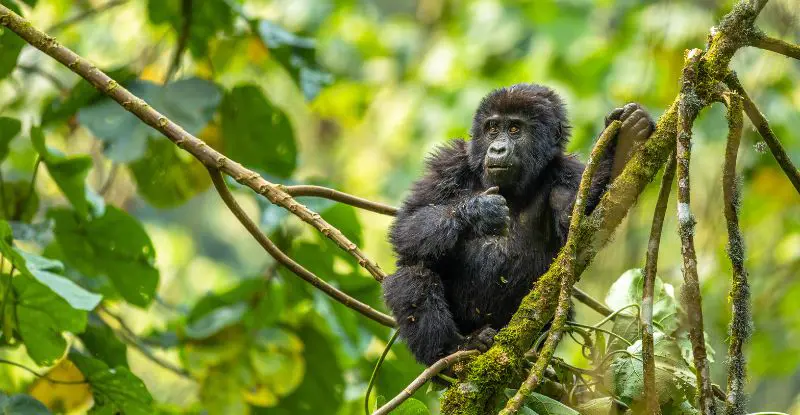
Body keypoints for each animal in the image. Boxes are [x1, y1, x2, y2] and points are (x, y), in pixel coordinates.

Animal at [384, 83, 652, 364]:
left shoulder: (567, 172)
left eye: (514, 129)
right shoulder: (448, 163)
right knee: (413, 273)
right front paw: (479, 211)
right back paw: (454, 347)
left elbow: (580, 225)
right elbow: (407, 226)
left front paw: (619, 142)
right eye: (492, 128)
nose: (497, 149)